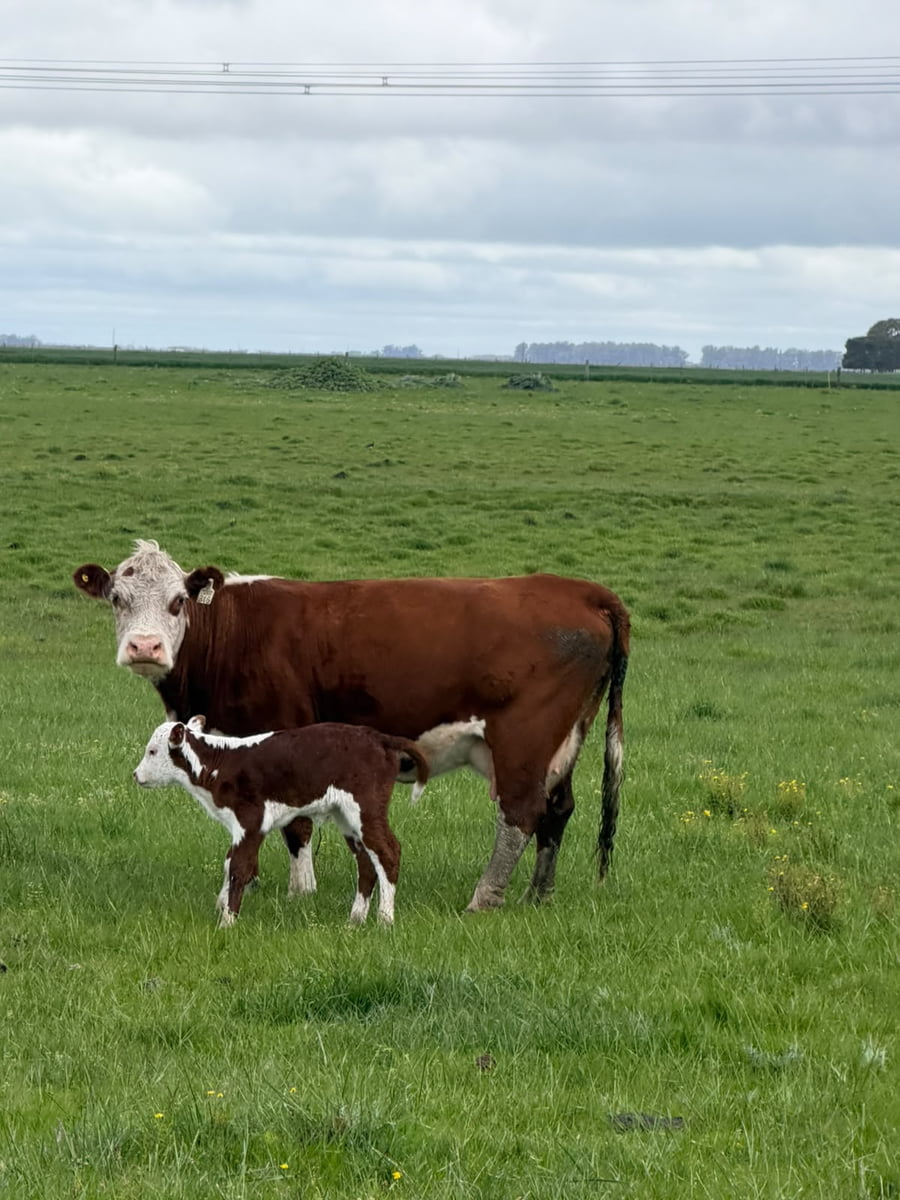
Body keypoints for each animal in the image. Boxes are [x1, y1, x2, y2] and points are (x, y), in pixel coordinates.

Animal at [133, 716, 427, 927]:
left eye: (152, 751)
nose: (135, 775)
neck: (220, 764)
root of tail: (379, 737)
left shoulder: (251, 821)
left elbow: (239, 866)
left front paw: (227, 921)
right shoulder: (240, 826)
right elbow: (229, 861)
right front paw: (221, 905)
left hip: (365, 808)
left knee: (388, 852)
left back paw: (385, 920)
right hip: (345, 815)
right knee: (366, 860)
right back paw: (355, 919)